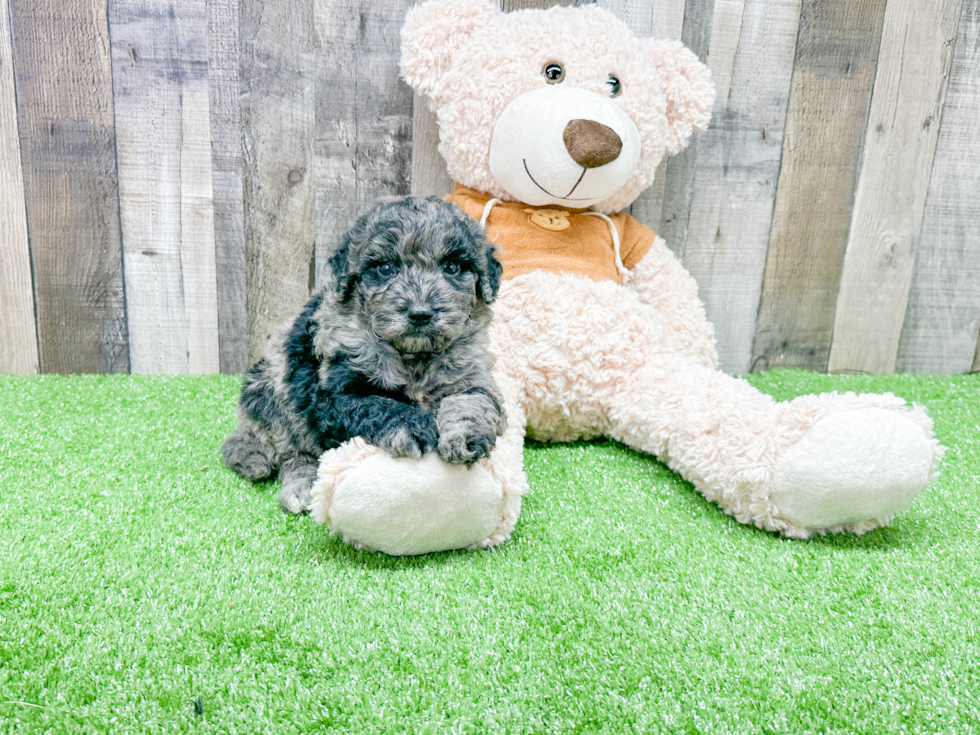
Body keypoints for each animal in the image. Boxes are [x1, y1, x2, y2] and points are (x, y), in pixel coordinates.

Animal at [221, 198, 506, 516]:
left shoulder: (469, 373)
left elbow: (473, 402)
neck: (413, 356)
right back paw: (293, 481)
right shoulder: (334, 392)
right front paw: (412, 425)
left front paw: (465, 436)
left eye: (452, 267)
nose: (420, 313)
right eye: (386, 268)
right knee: (286, 449)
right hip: (272, 391)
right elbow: (377, 404)